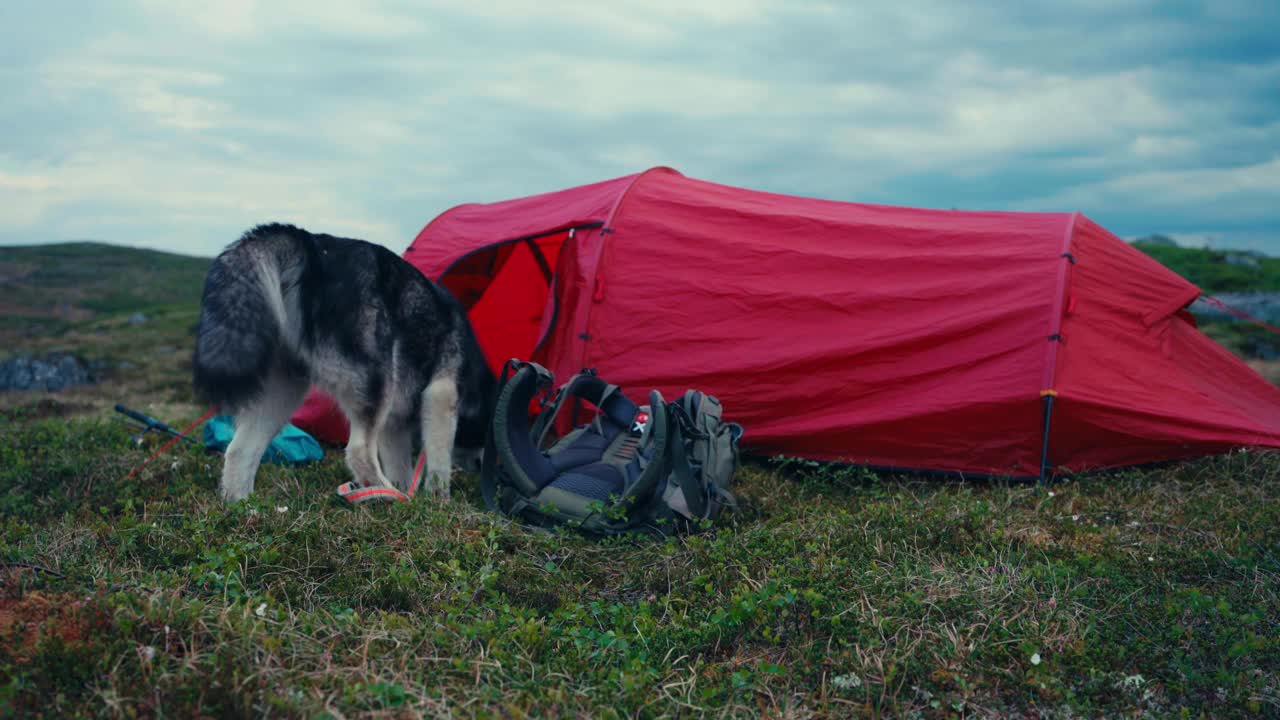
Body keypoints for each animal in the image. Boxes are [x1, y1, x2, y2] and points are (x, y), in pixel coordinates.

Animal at [193, 222, 494, 499]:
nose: (482, 465)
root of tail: (312, 246)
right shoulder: (441, 395)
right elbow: (440, 460)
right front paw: (438, 498)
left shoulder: (396, 419)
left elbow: (401, 465)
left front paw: (409, 490)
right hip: (376, 381)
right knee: (359, 453)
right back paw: (387, 495)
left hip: (284, 392)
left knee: (239, 450)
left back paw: (241, 506)